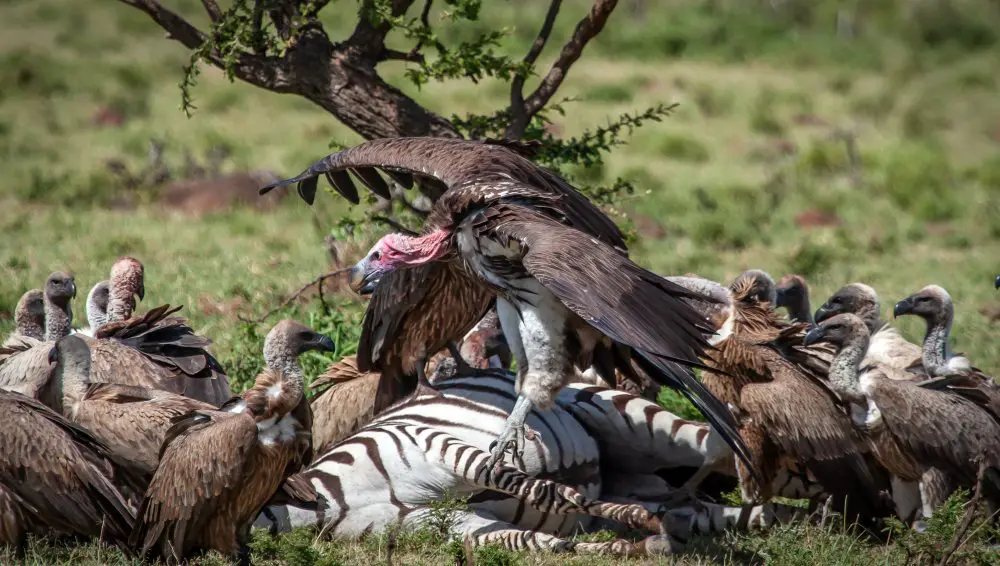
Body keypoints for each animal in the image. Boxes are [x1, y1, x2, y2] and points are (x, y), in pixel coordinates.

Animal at [260, 367, 815, 555]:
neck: (334, 500)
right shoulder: (441, 525)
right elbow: (533, 542)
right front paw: (625, 546)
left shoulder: (434, 443)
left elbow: (538, 487)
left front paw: (632, 524)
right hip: (665, 489)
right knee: (727, 512)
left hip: (631, 416)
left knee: (728, 451)